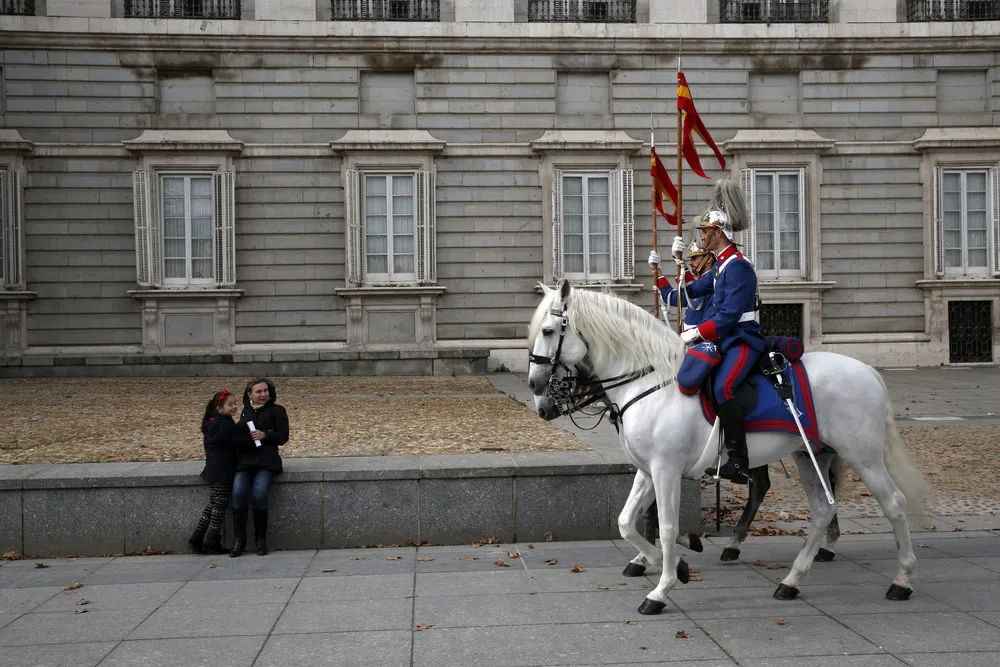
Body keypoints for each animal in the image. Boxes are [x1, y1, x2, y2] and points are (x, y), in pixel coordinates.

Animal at [532, 282, 928, 616]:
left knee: (893, 504)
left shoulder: (665, 469)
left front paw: (662, 588)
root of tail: (868, 371)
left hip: (864, 456)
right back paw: (791, 580)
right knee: (821, 510)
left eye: (548, 331)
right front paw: (672, 564)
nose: (536, 391)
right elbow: (627, 522)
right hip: (811, 454)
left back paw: (903, 580)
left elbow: (666, 527)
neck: (650, 381)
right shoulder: (647, 470)